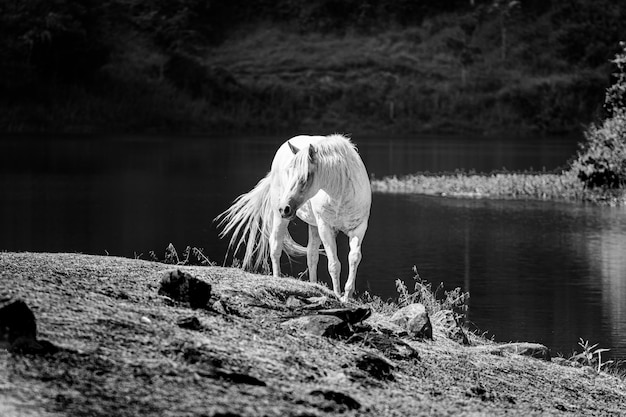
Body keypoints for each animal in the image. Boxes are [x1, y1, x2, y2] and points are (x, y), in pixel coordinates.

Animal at [216, 135, 370, 300]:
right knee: (276, 246)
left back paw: (313, 285)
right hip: (281, 219)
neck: (340, 192)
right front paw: (337, 295)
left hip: (312, 225)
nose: (284, 208)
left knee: (312, 255)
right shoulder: (325, 227)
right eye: (288, 172)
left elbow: (354, 258)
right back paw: (277, 279)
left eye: (307, 176)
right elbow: (334, 264)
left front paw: (347, 296)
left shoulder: (358, 228)